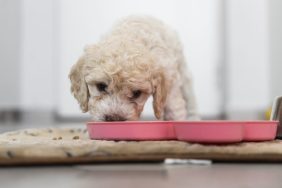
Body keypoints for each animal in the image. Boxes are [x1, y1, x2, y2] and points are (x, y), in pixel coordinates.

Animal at [69, 15, 199, 121]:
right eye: (101, 86)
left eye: (137, 93)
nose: (114, 119)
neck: (130, 36)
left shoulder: (171, 84)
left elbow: (174, 110)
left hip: (183, 73)